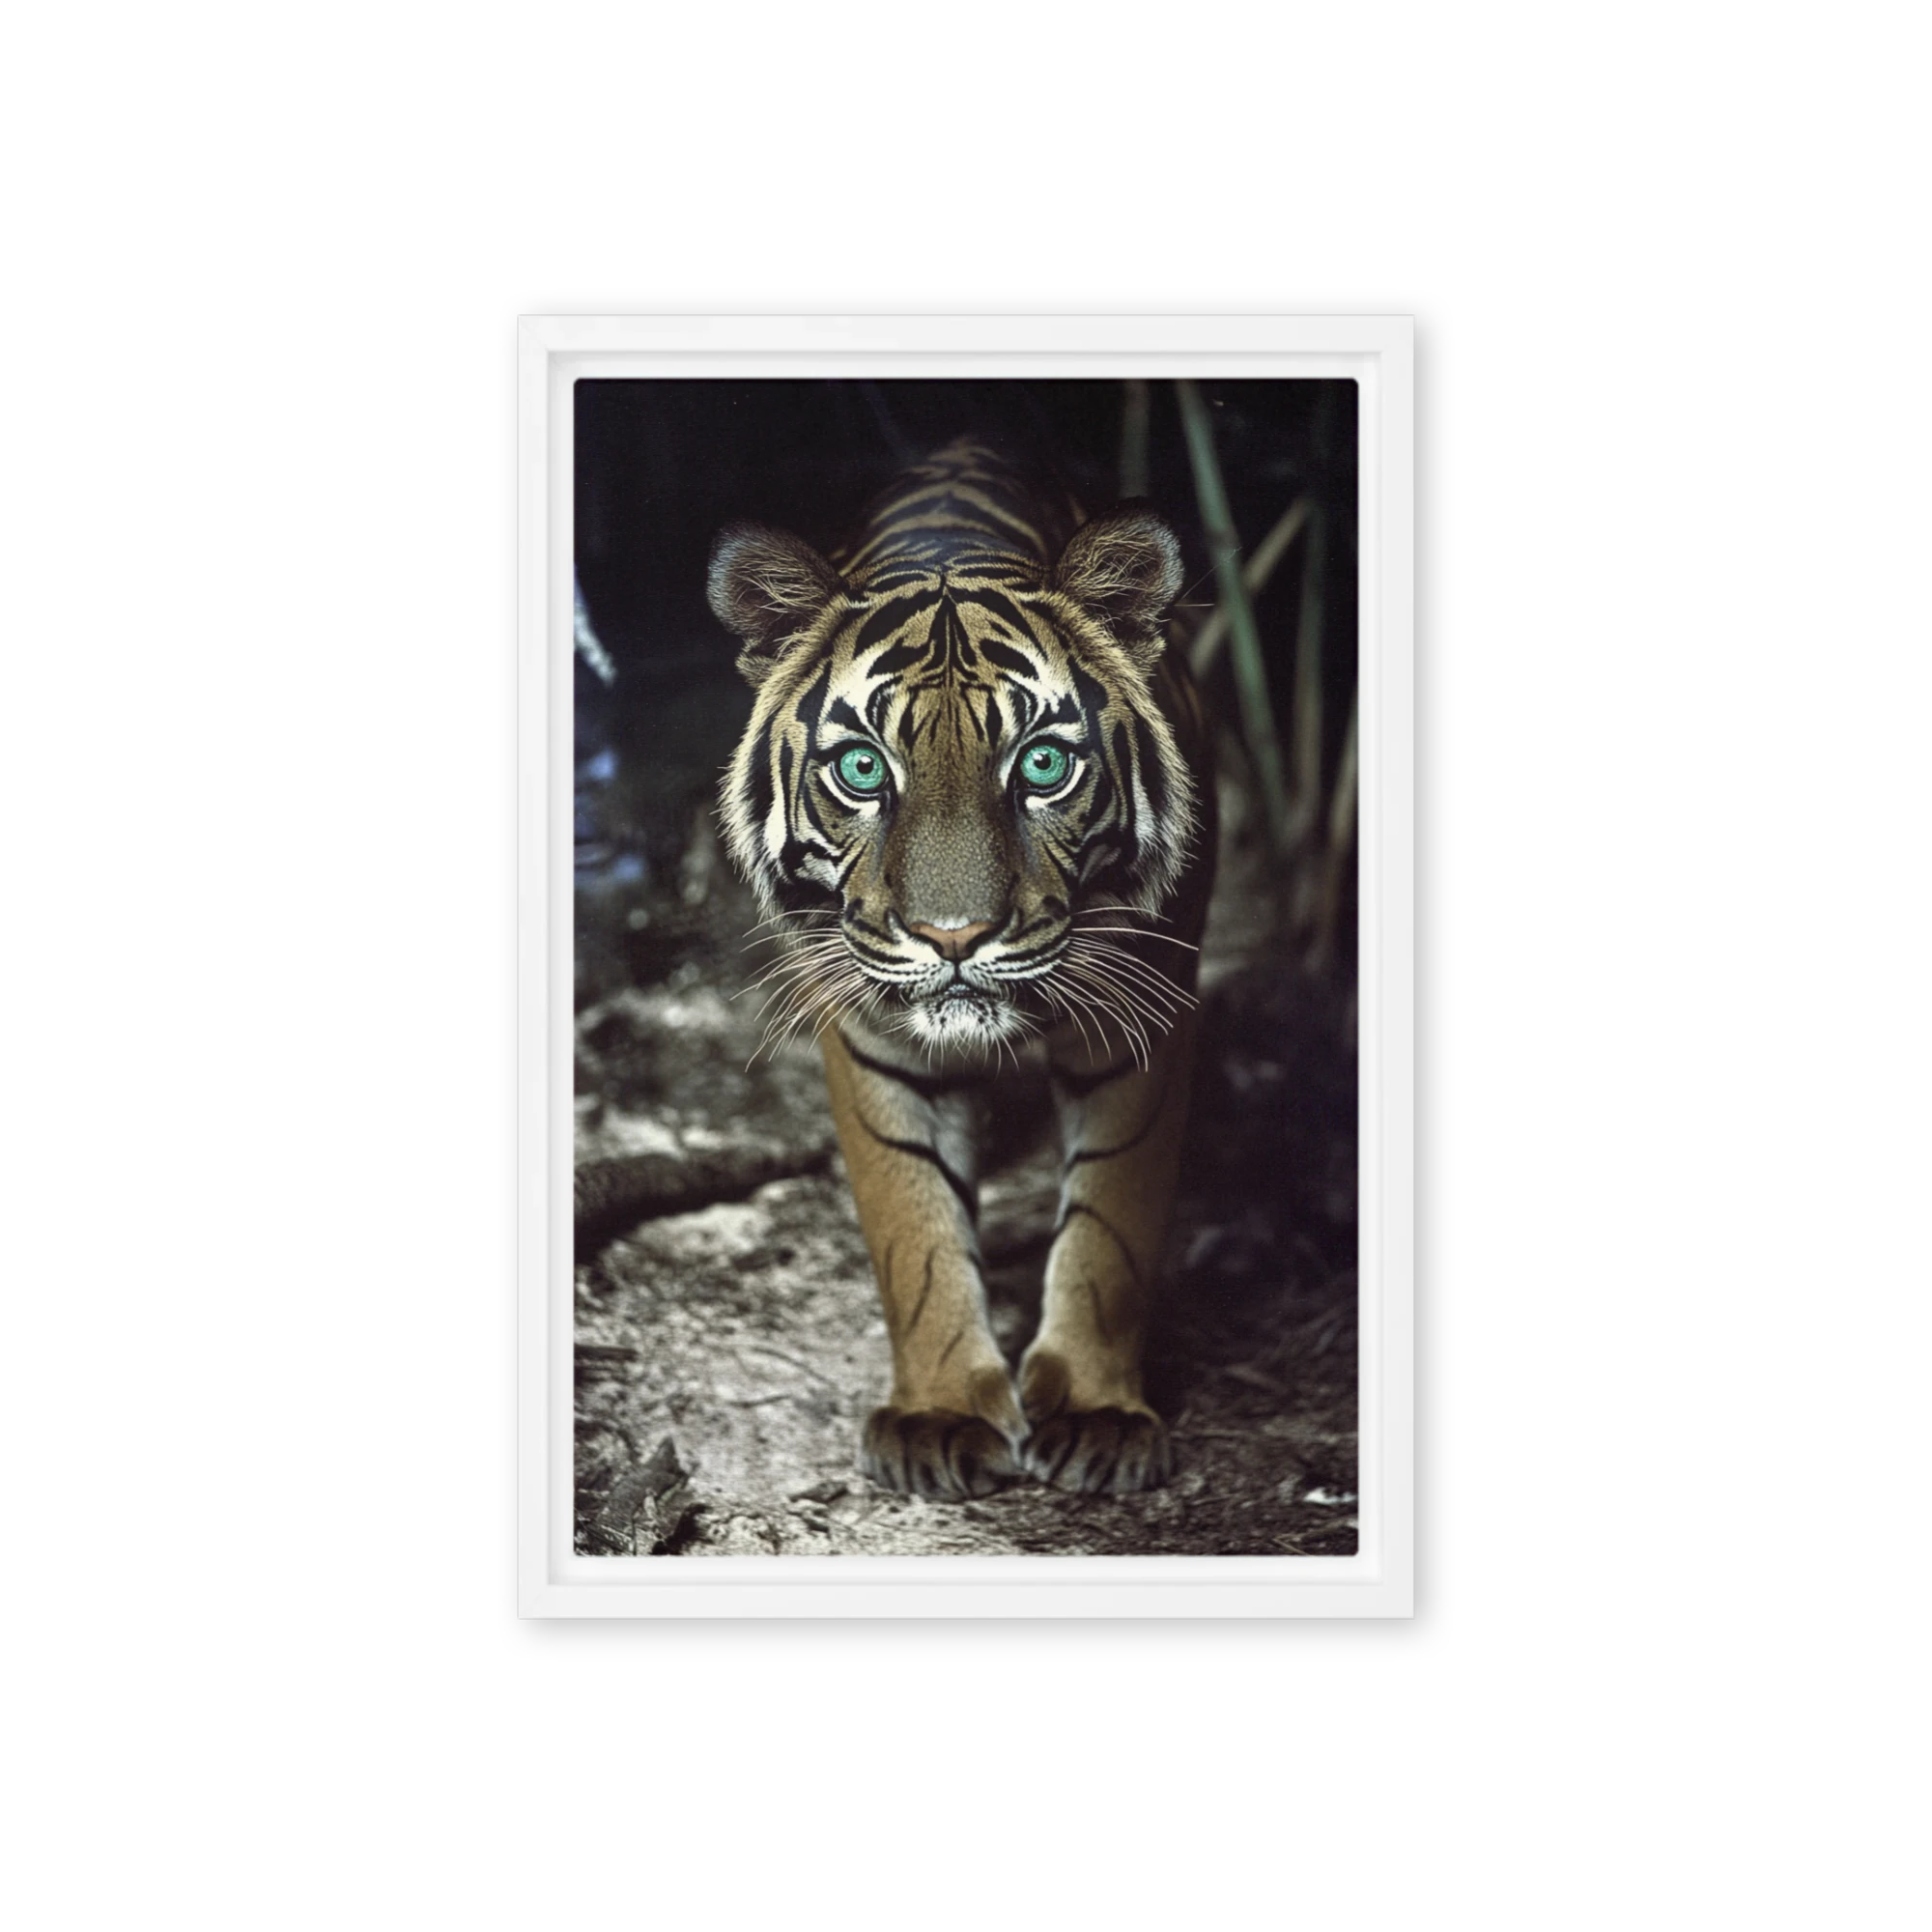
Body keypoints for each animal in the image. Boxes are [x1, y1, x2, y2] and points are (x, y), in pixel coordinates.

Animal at [708, 437, 1214, 1498]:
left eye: (1041, 765)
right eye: (862, 769)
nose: (953, 936)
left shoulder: (1146, 1011)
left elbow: (1114, 1219)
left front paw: (1097, 1413)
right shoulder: (872, 1037)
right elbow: (915, 1225)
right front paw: (941, 1413)